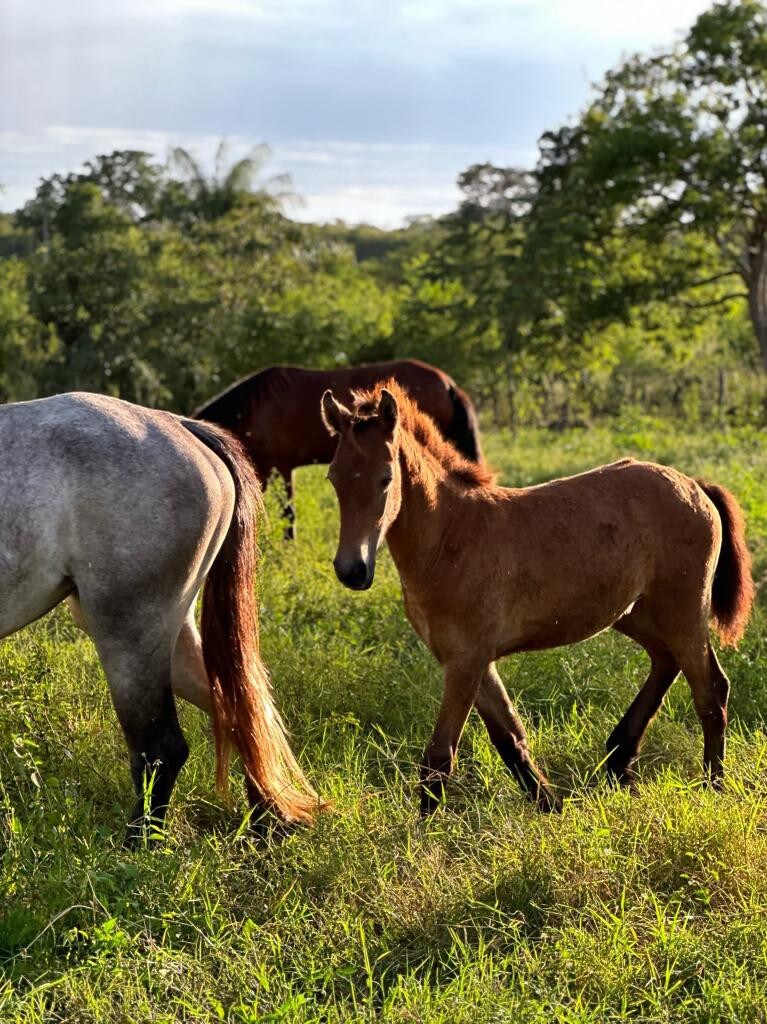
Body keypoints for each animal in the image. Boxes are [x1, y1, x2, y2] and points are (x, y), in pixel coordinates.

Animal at [0, 389, 319, 839]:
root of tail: (180, 425)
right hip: (171, 636)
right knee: (239, 712)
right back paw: (265, 819)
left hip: (130, 636)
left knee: (161, 747)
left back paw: (136, 847)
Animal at [321, 380, 753, 811]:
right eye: (334, 478)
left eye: (386, 478)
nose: (352, 570)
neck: (449, 538)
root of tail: (695, 485)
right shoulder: (467, 658)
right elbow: (509, 738)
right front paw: (551, 806)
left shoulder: (466, 660)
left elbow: (440, 757)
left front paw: (423, 830)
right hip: (636, 612)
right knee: (666, 661)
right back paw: (620, 759)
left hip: (684, 610)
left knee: (710, 690)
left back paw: (713, 787)